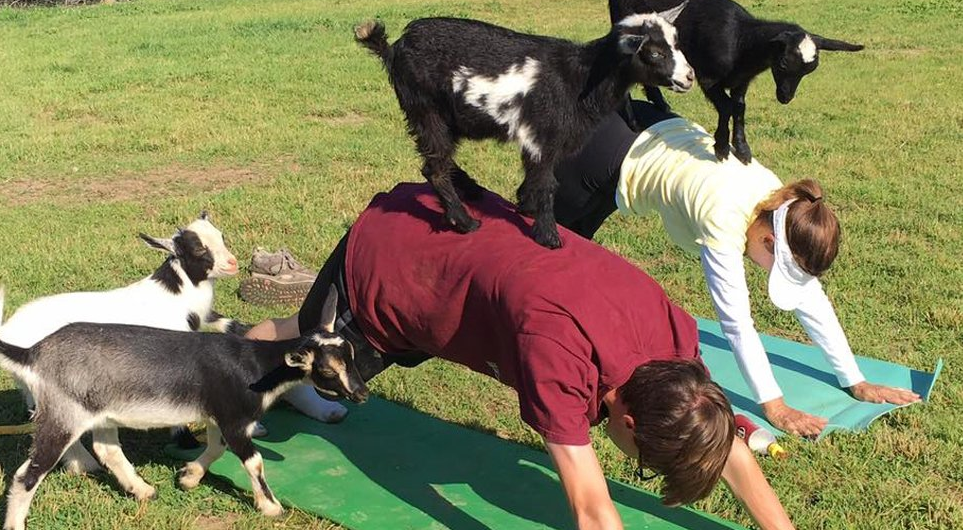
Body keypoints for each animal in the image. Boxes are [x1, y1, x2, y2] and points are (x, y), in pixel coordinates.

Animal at [0, 284, 370, 528]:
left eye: (351, 355)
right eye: (327, 370)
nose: (361, 394)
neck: (254, 366)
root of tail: (32, 353)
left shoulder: (218, 416)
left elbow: (217, 448)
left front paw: (188, 477)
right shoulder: (234, 418)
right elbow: (254, 461)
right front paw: (271, 506)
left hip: (99, 411)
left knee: (108, 450)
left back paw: (143, 490)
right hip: (62, 416)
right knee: (27, 474)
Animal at [354, 13, 692, 249]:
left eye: (676, 43)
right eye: (654, 53)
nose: (689, 77)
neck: (580, 77)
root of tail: (393, 49)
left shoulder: (541, 141)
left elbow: (536, 177)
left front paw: (525, 206)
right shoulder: (541, 135)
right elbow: (546, 183)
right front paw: (548, 236)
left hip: (442, 117)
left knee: (439, 161)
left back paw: (470, 189)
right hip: (426, 109)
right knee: (434, 167)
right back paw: (464, 221)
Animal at [612, 0, 868, 163]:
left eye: (810, 70)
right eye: (783, 63)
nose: (785, 97)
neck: (740, 42)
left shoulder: (741, 81)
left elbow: (739, 108)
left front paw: (743, 149)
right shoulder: (707, 78)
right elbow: (726, 107)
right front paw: (722, 147)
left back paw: (660, 103)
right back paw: (634, 120)